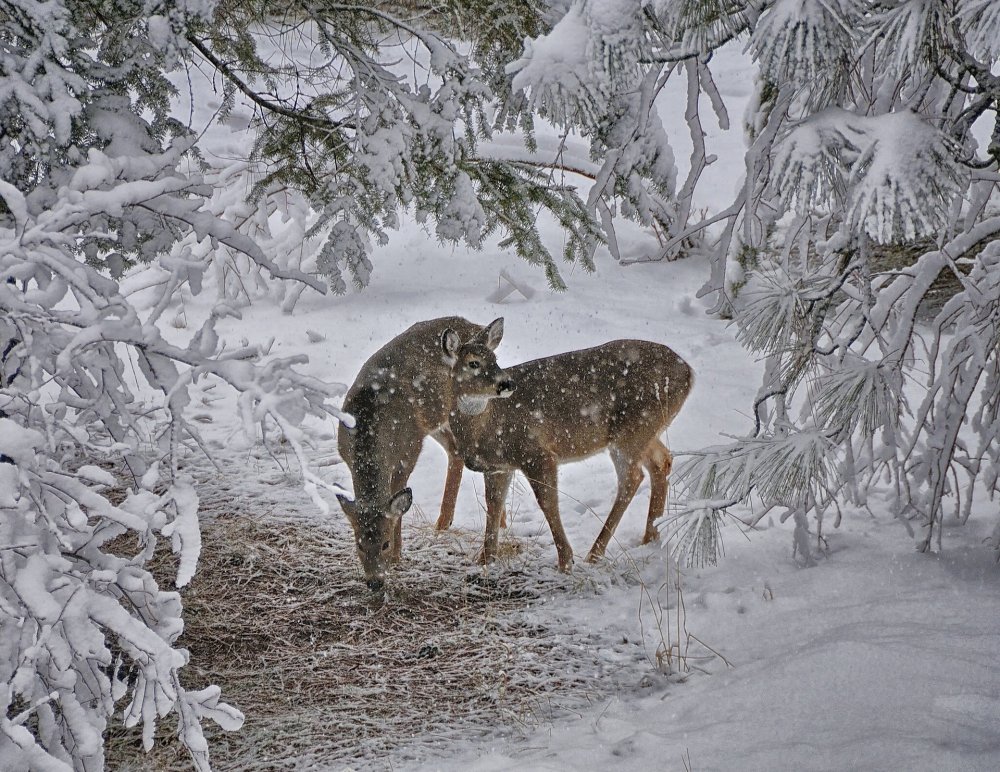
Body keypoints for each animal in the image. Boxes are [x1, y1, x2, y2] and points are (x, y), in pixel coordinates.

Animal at [336, 316, 488, 592]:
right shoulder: (346, 455)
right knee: (455, 451)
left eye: (384, 543)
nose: (375, 582)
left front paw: (397, 556)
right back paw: (443, 522)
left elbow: (398, 502)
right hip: (436, 420)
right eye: (359, 544)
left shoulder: (409, 452)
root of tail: (474, 324)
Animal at [442, 316, 692, 568]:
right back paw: (650, 538)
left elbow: (547, 502)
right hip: (646, 431)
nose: (507, 384)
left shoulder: (537, 452)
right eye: (474, 363)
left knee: (632, 478)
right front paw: (485, 559)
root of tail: (689, 372)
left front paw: (565, 560)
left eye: (495, 359)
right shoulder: (497, 466)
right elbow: (493, 505)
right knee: (662, 461)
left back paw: (595, 553)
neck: (483, 428)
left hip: (633, 430)